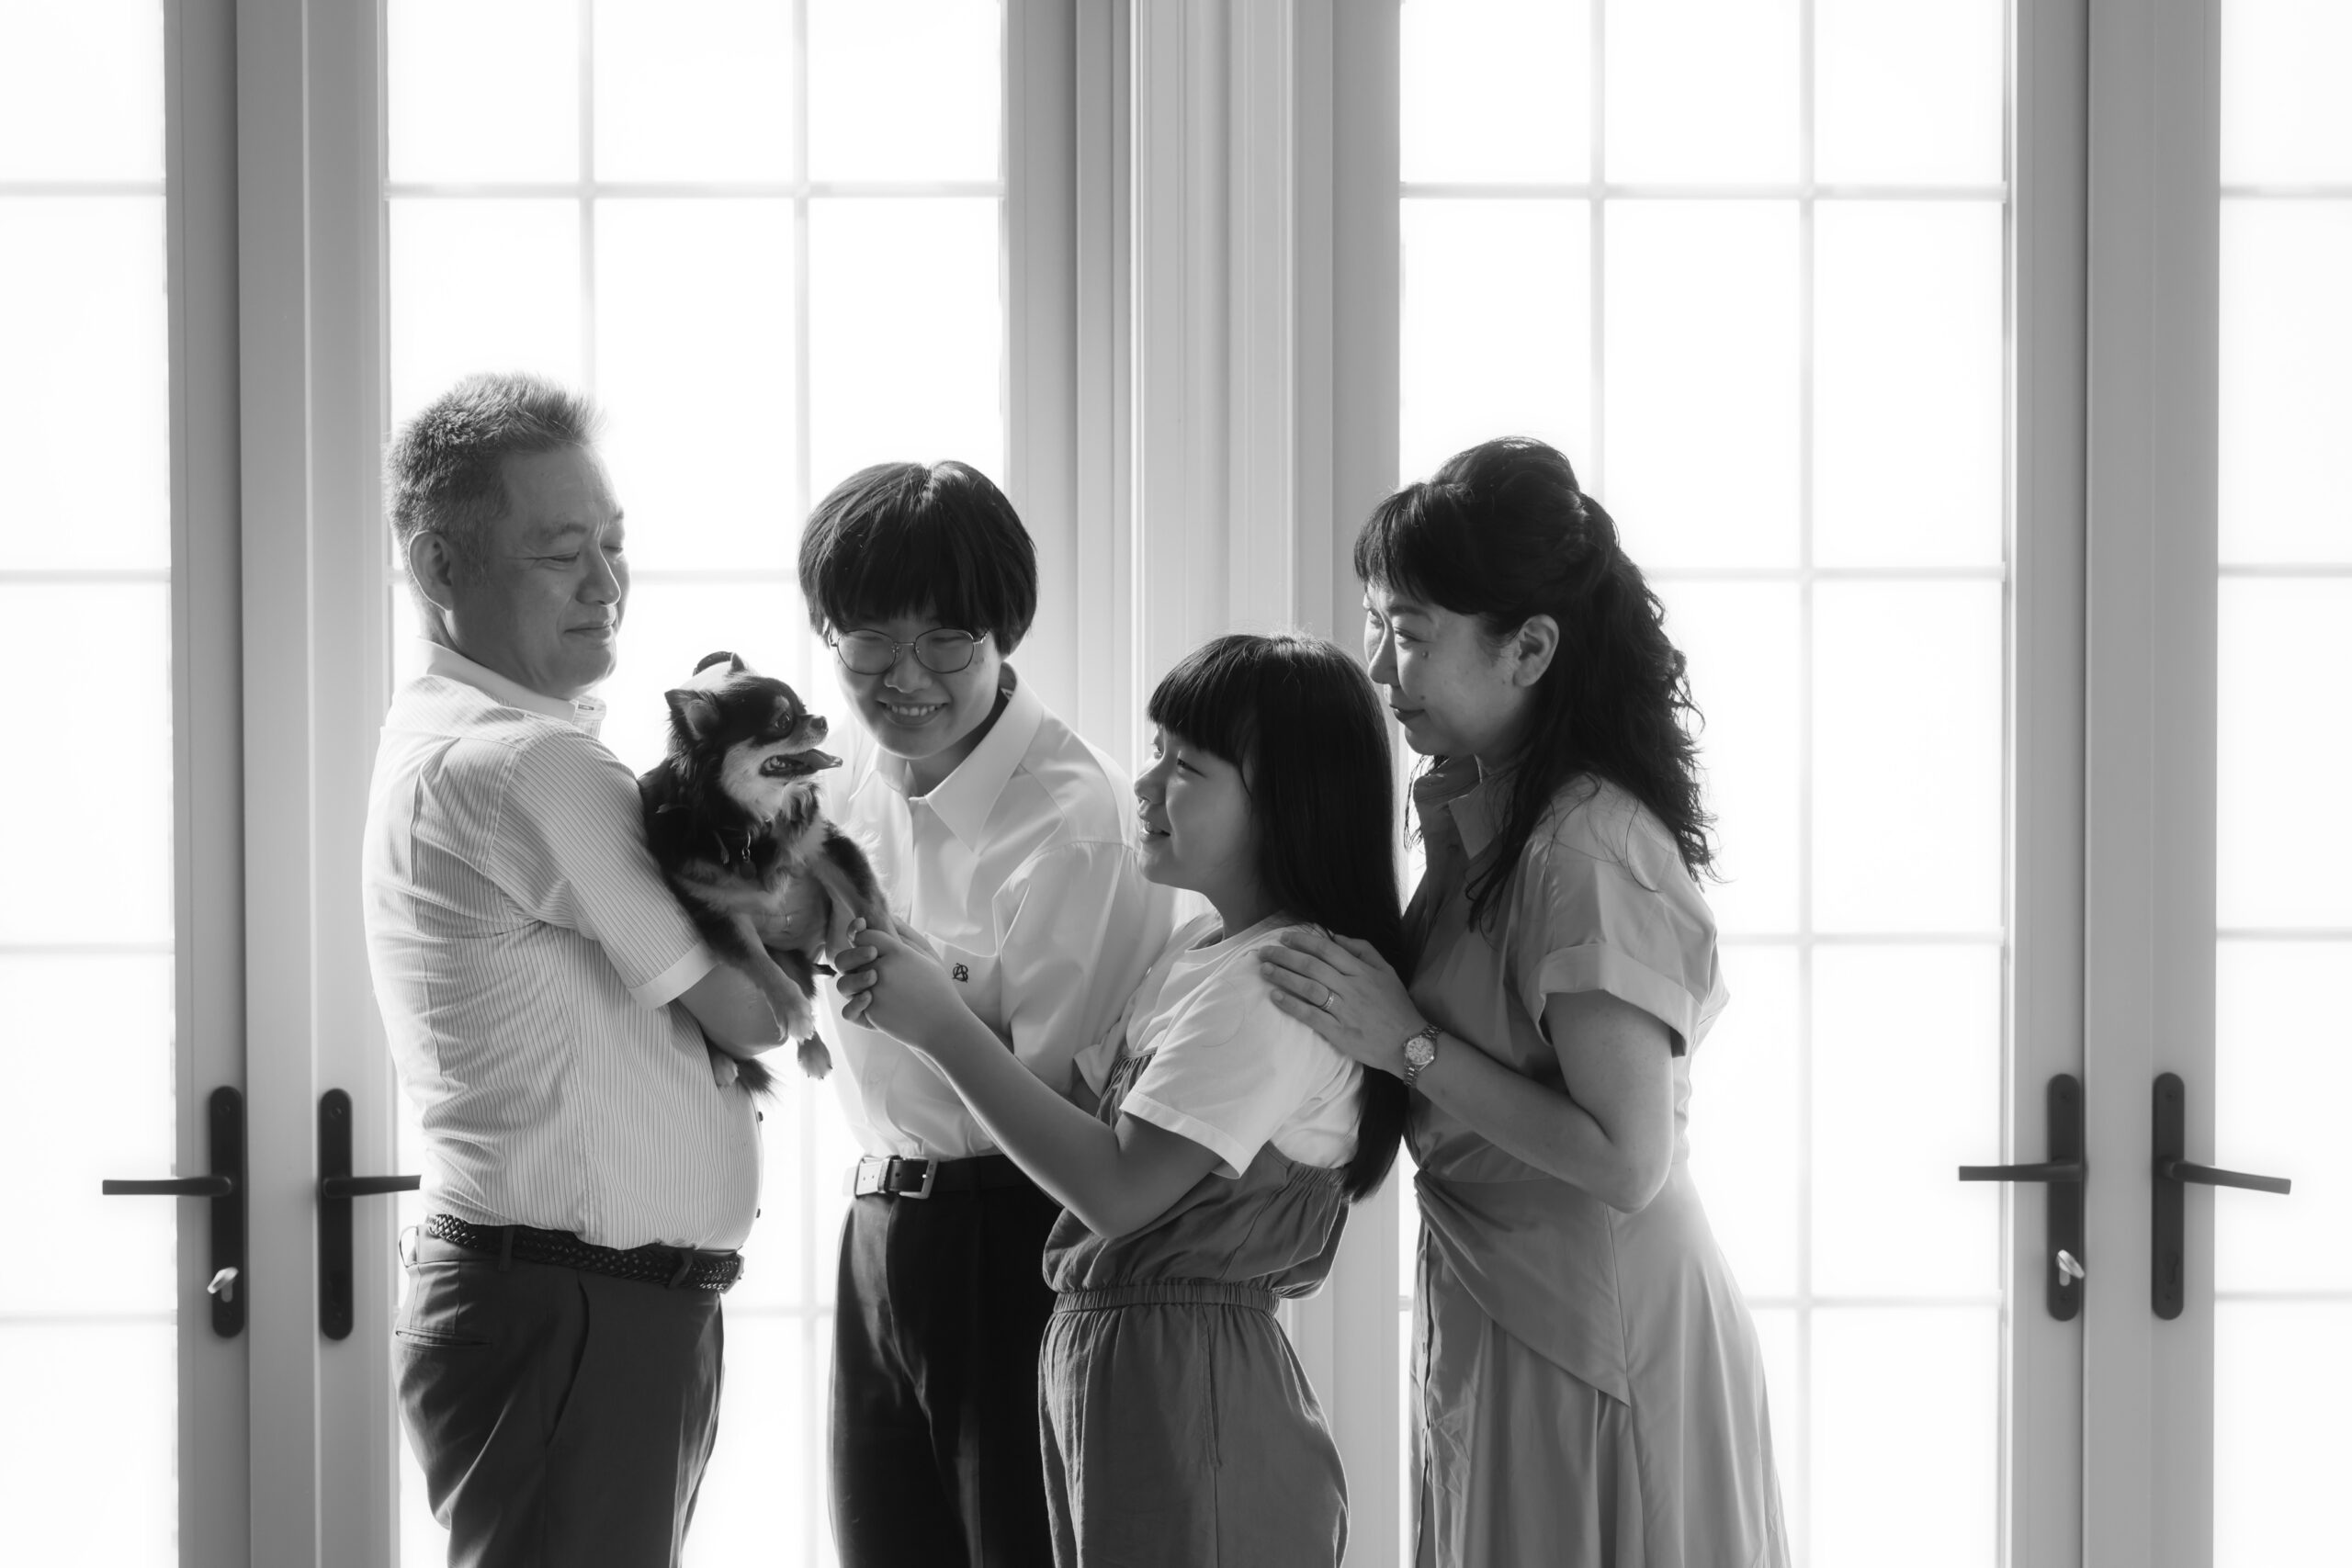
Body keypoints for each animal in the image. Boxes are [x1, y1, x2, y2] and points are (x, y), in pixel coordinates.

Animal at [639, 651, 888, 1093]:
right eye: (782, 722)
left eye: (803, 707)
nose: (821, 719)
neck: (749, 827)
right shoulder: (718, 915)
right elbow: (759, 963)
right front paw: (793, 1013)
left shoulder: (825, 845)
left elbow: (868, 899)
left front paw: (897, 947)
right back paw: (725, 1060)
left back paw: (814, 1051)